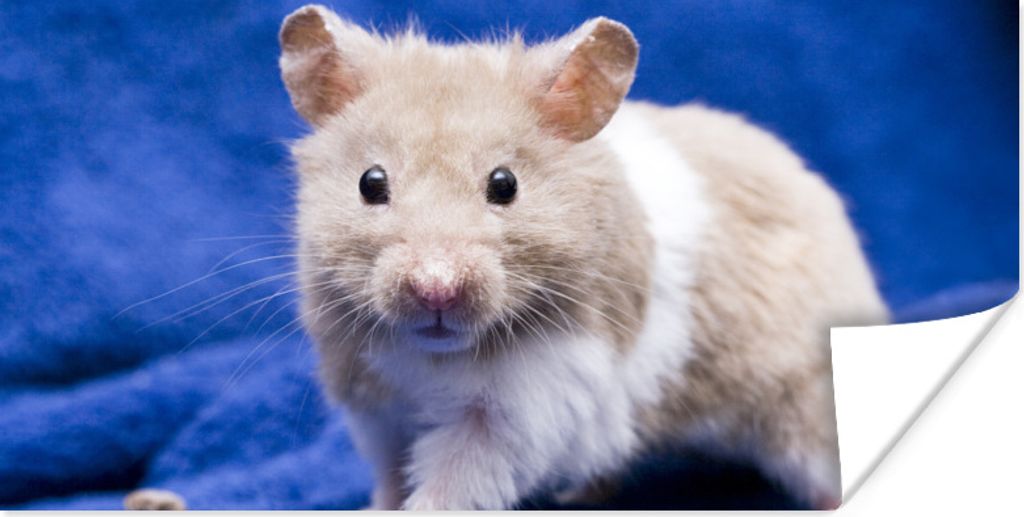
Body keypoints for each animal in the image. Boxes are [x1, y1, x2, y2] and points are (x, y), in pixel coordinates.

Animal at [280, 4, 889, 511]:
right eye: (370, 182)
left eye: (505, 184)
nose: (435, 289)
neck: (435, 356)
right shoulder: (373, 402)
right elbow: (389, 475)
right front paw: (376, 509)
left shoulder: (520, 413)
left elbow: (452, 484)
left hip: (802, 402)